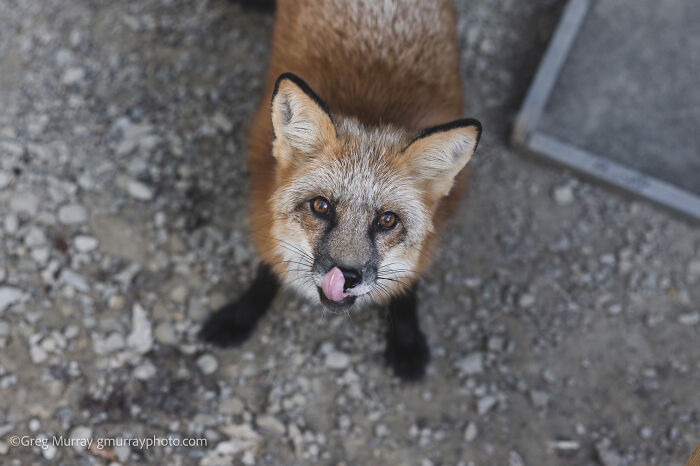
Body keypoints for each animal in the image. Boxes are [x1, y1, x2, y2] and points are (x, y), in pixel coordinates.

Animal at [200, 0, 482, 380]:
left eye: (387, 220)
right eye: (320, 206)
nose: (345, 277)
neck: (372, 111)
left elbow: (409, 281)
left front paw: (406, 338)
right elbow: (267, 268)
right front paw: (240, 316)